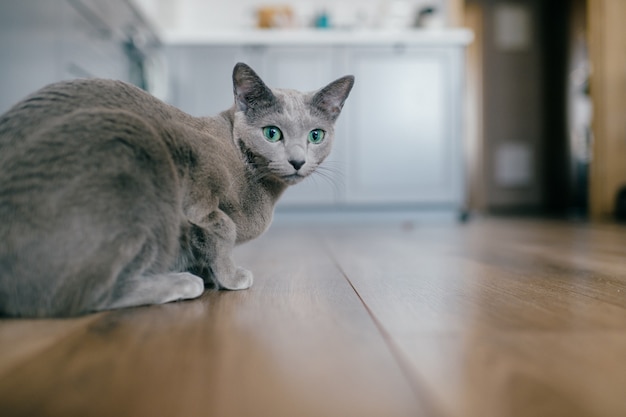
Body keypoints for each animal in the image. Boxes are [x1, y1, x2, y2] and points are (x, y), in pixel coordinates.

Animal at [0, 62, 352, 316]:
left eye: (316, 136)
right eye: (272, 133)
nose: (297, 160)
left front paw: (211, 272)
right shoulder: (194, 167)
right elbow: (223, 228)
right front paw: (230, 278)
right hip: (133, 142)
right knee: (84, 295)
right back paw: (181, 283)